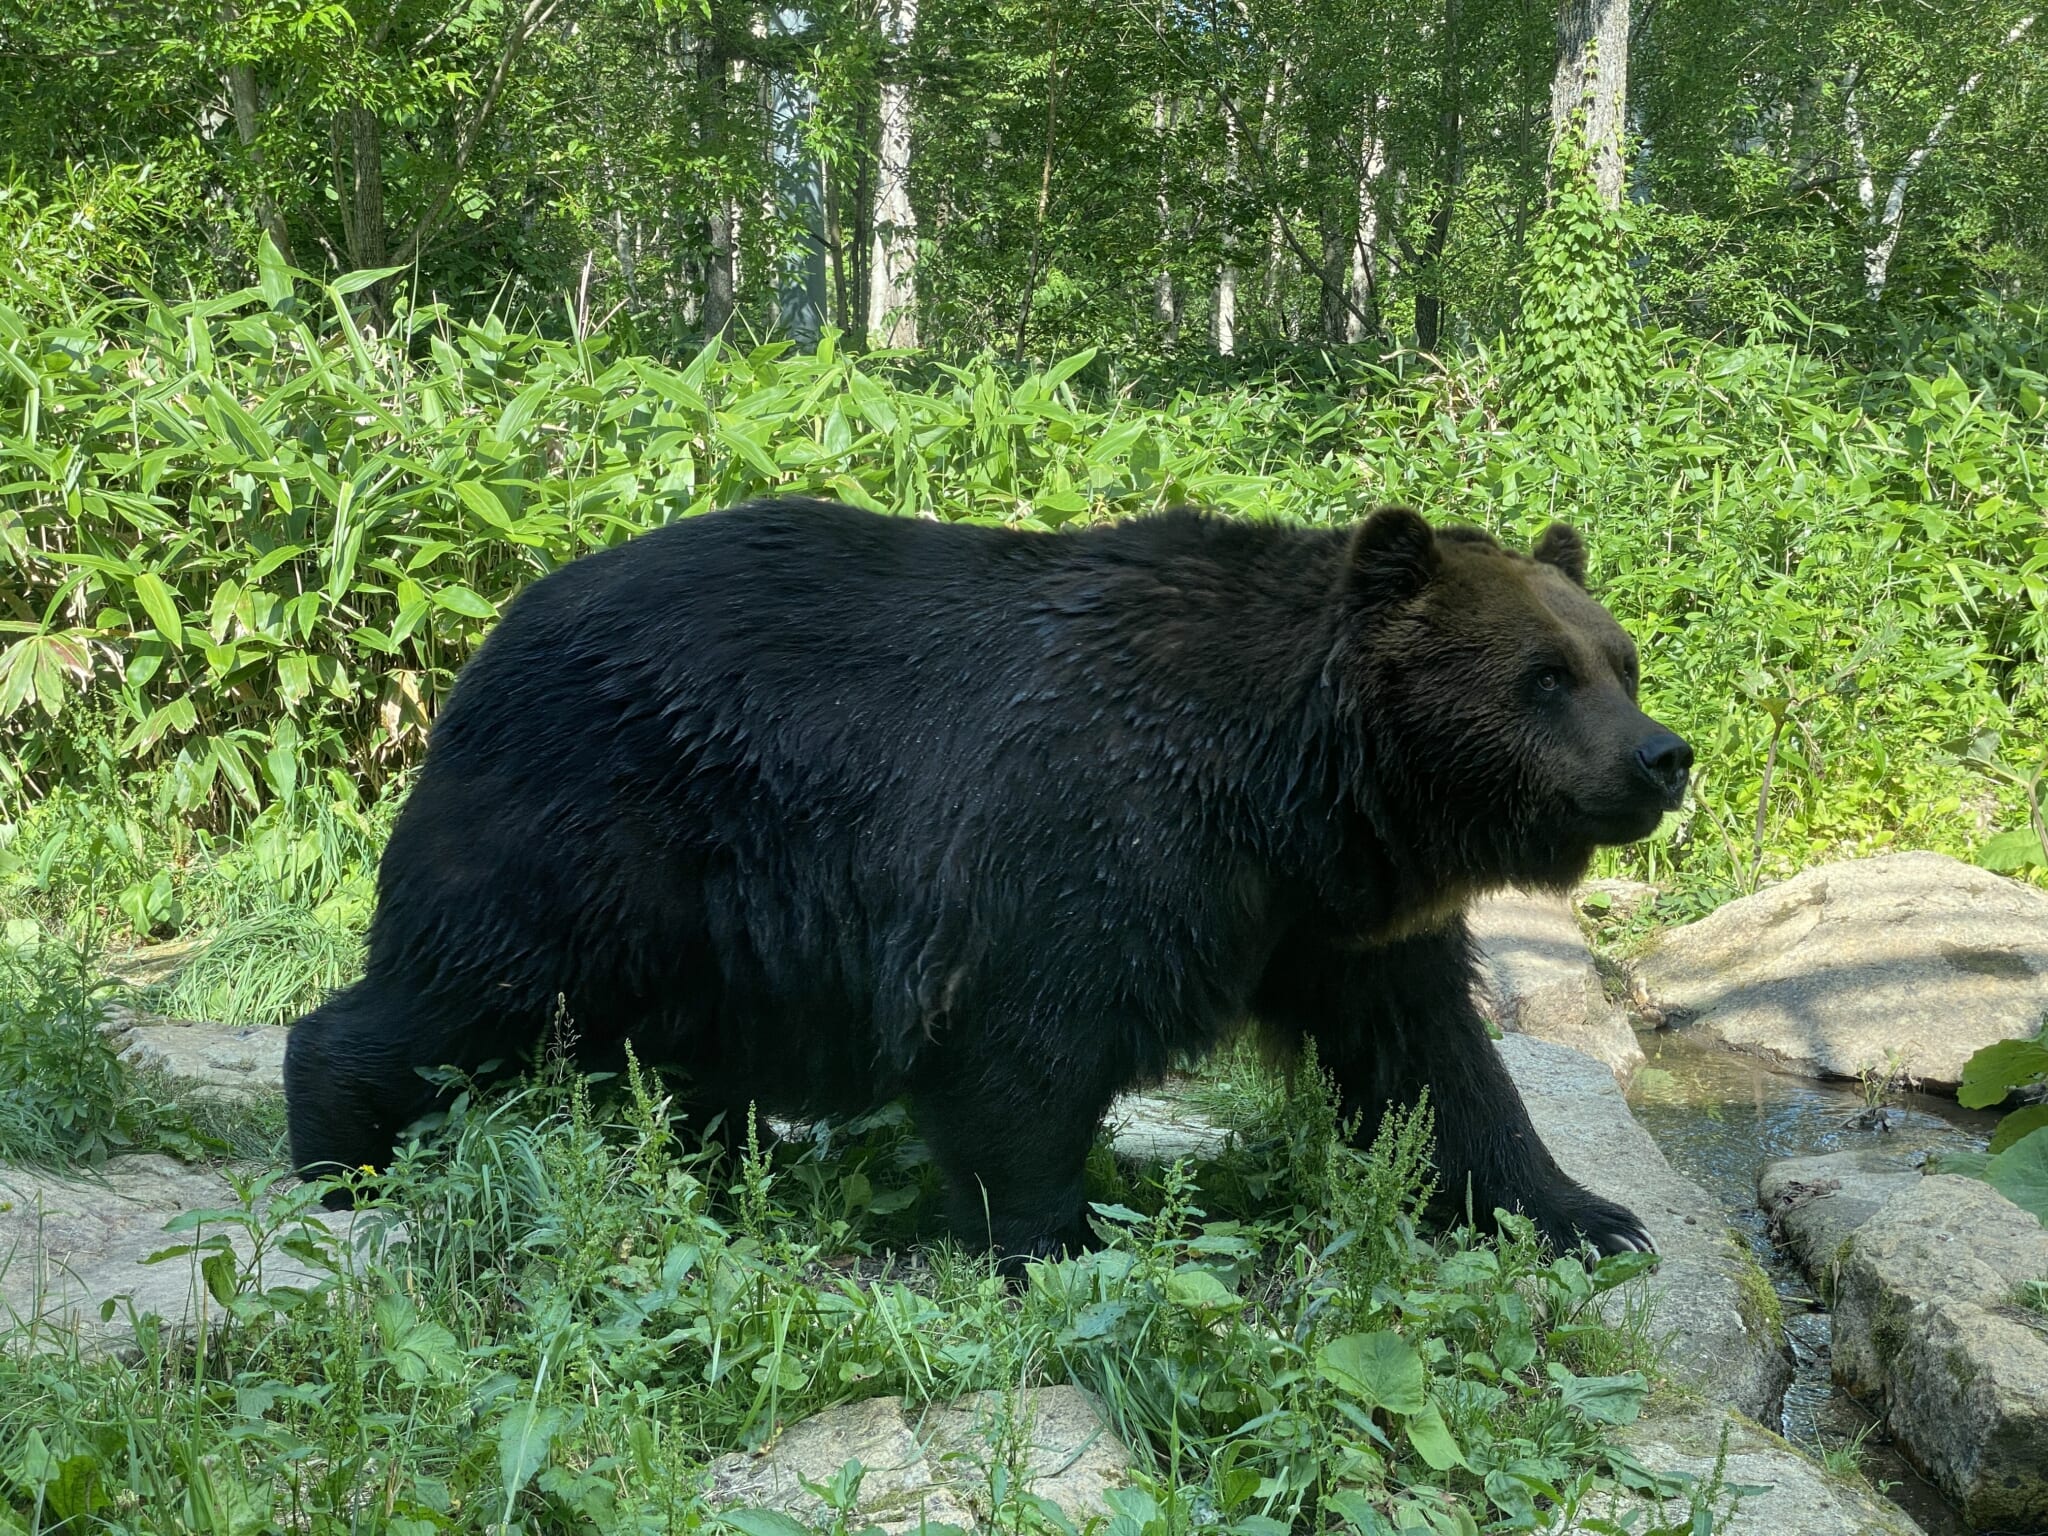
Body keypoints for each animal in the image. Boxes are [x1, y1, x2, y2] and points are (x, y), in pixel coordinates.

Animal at [284, 497, 1691, 1267]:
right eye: (1542, 677)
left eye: (1618, 660)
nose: (1661, 756)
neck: (1293, 791)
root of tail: (493, 632)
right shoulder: (1101, 832)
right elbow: (1029, 1043)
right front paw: (1053, 1235)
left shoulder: (1332, 919)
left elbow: (1430, 1062)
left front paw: (1583, 1214)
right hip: (599, 833)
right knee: (476, 979)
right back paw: (339, 1151)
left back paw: (719, 1163)